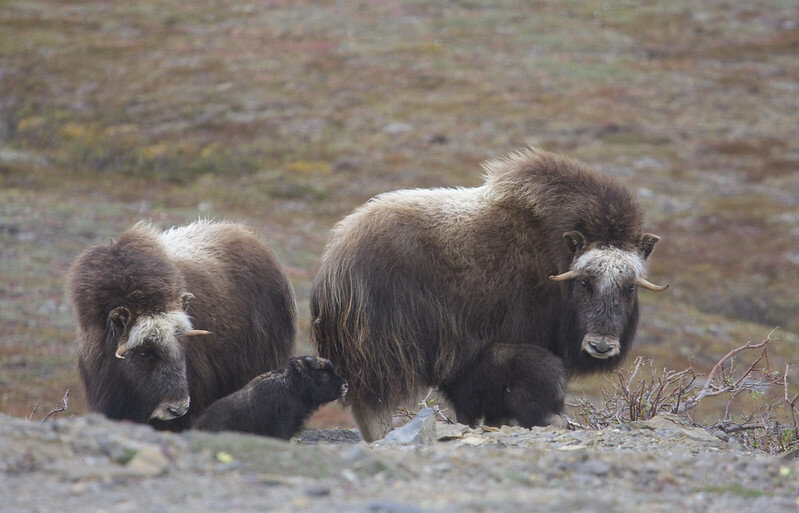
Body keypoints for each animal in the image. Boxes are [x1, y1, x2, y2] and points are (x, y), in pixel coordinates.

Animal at [312, 146, 668, 438]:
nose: (601, 346)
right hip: (384, 352)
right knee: (374, 403)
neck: (555, 258)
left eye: (630, 287)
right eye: (584, 282)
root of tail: (336, 255)